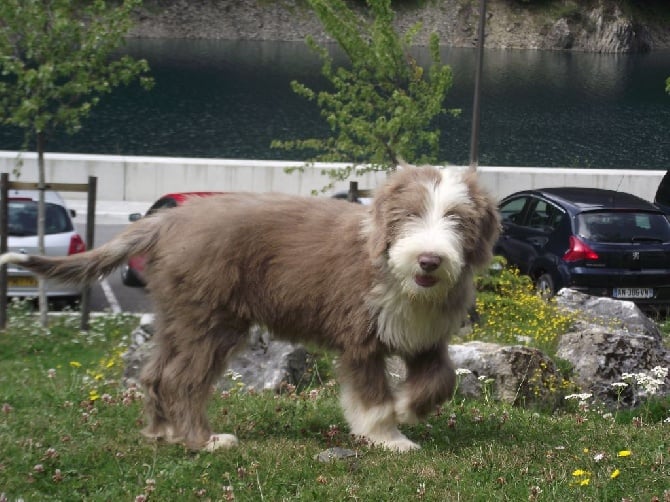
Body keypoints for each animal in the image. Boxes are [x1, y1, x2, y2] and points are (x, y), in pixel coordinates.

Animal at [0, 164, 498, 452]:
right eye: (408, 215)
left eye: (457, 220)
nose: (429, 260)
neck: (395, 272)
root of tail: (168, 219)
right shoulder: (361, 339)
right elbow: (373, 397)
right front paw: (389, 435)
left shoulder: (426, 337)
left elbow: (441, 380)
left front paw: (408, 407)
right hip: (210, 319)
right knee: (182, 379)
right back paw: (204, 441)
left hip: (176, 317)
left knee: (156, 373)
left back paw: (163, 432)